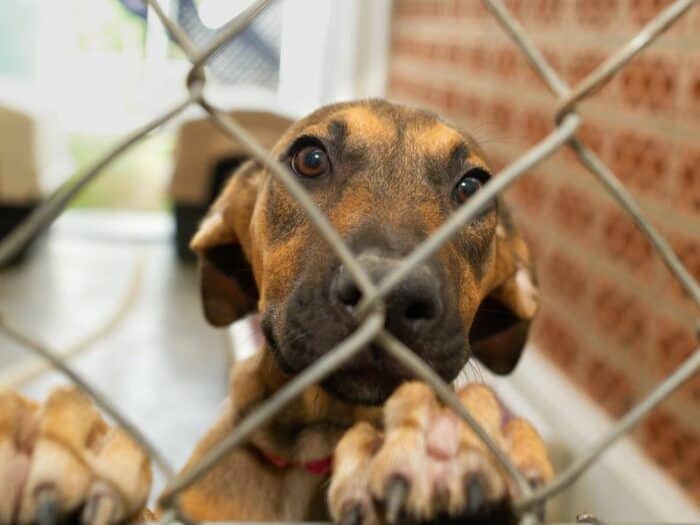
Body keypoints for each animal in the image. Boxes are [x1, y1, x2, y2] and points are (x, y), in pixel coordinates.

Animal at [0, 99, 552, 524]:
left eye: (473, 187)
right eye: (310, 159)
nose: (391, 295)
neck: (314, 446)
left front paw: (452, 448)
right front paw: (59, 447)